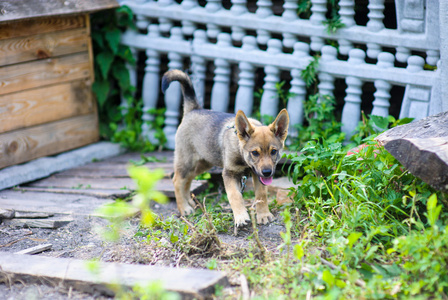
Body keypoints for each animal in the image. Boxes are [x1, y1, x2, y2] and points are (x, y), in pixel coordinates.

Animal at [163, 69, 288, 226]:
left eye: (273, 151)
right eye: (254, 153)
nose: (267, 173)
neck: (241, 155)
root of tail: (193, 109)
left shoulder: (257, 175)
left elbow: (261, 195)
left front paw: (264, 215)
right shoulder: (229, 173)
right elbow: (235, 195)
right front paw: (241, 216)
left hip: (203, 162)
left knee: (188, 179)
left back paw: (189, 202)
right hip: (186, 160)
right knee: (177, 180)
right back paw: (184, 208)